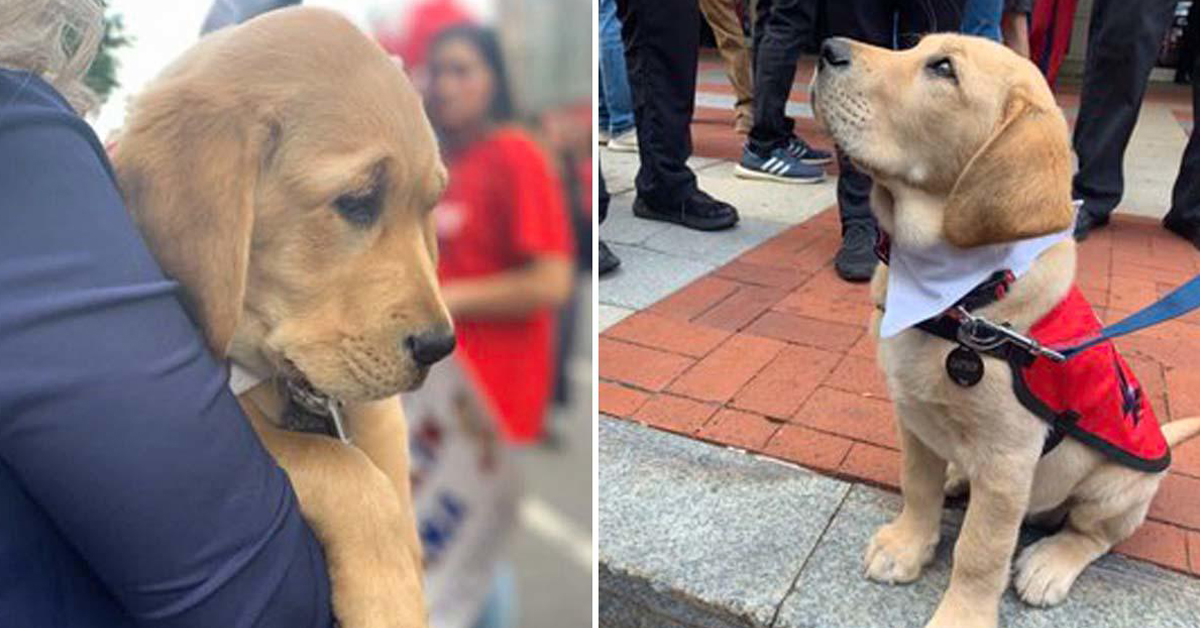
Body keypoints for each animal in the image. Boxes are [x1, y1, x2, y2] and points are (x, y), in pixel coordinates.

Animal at [112, 8, 448, 628]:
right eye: (357, 201)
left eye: (429, 207)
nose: (442, 347)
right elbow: (339, 464)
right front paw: (389, 598)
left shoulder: (373, 415)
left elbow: (383, 469)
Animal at [811, 33, 1200, 628]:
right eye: (916, 46)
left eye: (943, 69)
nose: (827, 47)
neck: (963, 296)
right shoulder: (913, 418)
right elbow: (917, 486)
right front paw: (908, 546)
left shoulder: (1007, 461)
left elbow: (981, 550)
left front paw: (962, 615)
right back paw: (956, 477)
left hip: (1116, 489)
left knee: (1091, 535)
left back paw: (1050, 563)